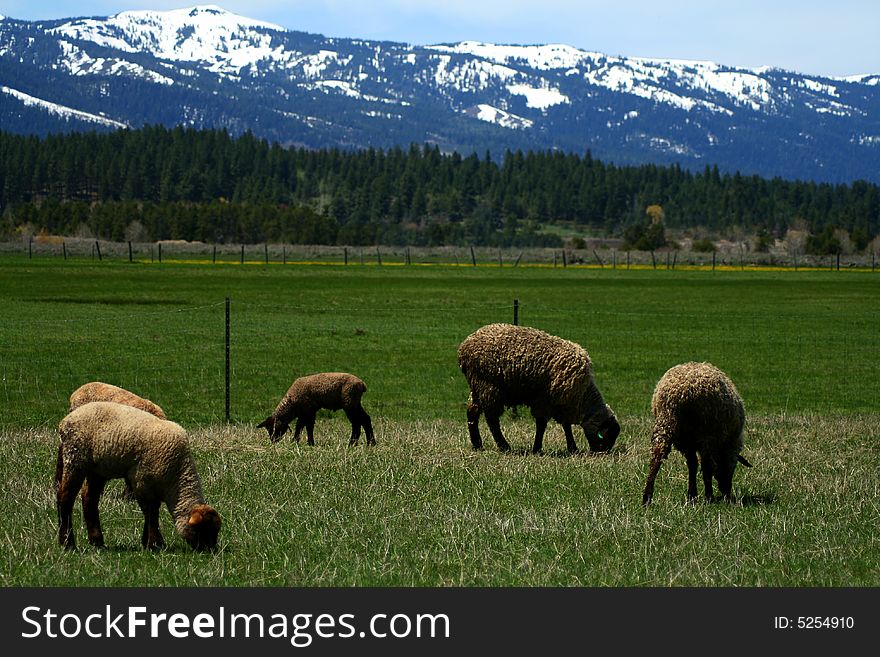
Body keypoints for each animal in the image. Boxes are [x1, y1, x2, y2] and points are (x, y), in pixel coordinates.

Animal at [55, 402, 222, 552]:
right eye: (202, 530)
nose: (211, 550)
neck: (176, 476)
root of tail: (65, 421)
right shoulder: (142, 481)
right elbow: (150, 513)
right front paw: (155, 544)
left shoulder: (150, 486)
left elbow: (152, 511)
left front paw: (148, 542)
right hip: (75, 458)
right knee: (65, 497)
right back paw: (68, 544)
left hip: (97, 469)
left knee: (89, 498)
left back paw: (98, 543)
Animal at [458, 322, 624, 454]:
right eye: (607, 436)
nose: (600, 452)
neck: (583, 396)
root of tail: (464, 348)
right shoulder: (546, 400)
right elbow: (542, 424)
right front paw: (537, 448)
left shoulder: (562, 404)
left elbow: (566, 426)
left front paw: (572, 448)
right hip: (489, 386)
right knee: (492, 419)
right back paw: (504, 446)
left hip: (477, 386)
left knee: (472, 412)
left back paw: (477, 444)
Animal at [644, 362, 752, 504]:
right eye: (732, 466)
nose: (726, 492)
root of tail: (682, 392)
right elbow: (703, 466)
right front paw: (699, 495)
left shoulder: (687, 443)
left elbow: (692, 465)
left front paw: (692, 495)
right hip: (706, 432)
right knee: (706, 465)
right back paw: (709, 497)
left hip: (665, 424)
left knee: (656, 458)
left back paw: (647, 497)